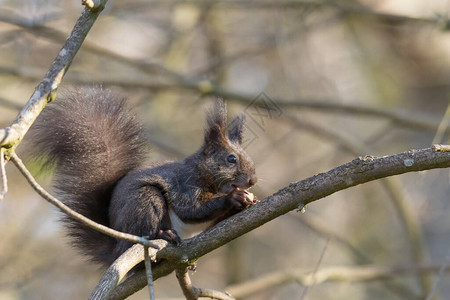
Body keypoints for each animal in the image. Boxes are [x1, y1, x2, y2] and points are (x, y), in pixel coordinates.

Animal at [28, 87, 258, 268]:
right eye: (231, 159)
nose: (252, 181)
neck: (205, 174)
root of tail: (118, 249)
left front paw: (246, 201)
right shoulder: (185, 184)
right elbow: (192, 210)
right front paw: (234, 198)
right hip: (145, 201)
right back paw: (163, 235)